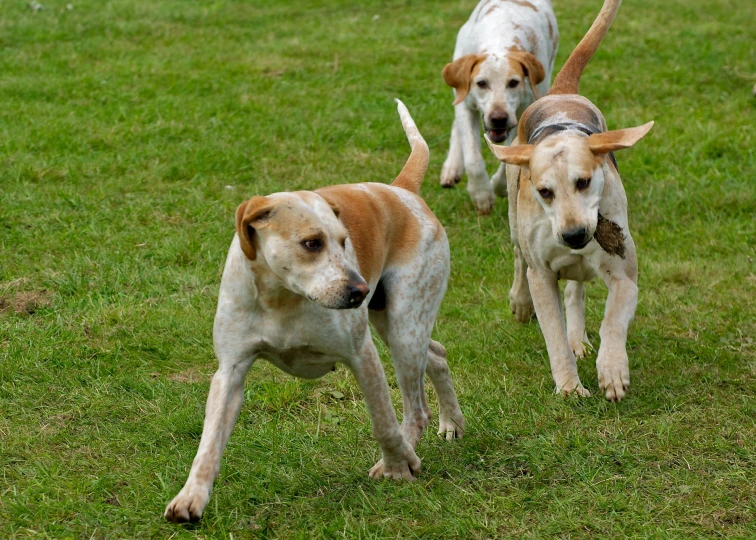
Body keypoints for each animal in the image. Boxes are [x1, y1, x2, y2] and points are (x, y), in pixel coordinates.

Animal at [162, 101, 464, 524]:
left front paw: (398, 464)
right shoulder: (230, 372)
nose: (359, 290)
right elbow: (208, 447)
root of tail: (401, 190)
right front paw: (191, 497)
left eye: (344, 241)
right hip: (396, 325)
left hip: (403, 329)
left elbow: (383, 423)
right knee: (436, 355)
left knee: (415, 409)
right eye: (311, 243)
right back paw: (452, 422)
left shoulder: (362, 355)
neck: (282, 300)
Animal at [440, 0, 560, 214]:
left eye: (513, 83)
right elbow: (473, 158)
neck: (499, 36)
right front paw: (481, 194)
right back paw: (452, 167)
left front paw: (499, 186)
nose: (498, 118)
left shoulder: (522, 115)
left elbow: (511, 159)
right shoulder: (466, 105)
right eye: (481, 83)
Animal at [488, 0, 652, 400]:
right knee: (519, 257)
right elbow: (553, 336)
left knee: (576, 291)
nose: (574, 235)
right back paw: (520, 302)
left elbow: (613, 319)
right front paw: (569, 386)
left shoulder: (624, 275)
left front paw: (612, 370)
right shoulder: (542, 277)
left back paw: (579, 337)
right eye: (545, 191)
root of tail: (561, 92)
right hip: (515, 224)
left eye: (584, 182)